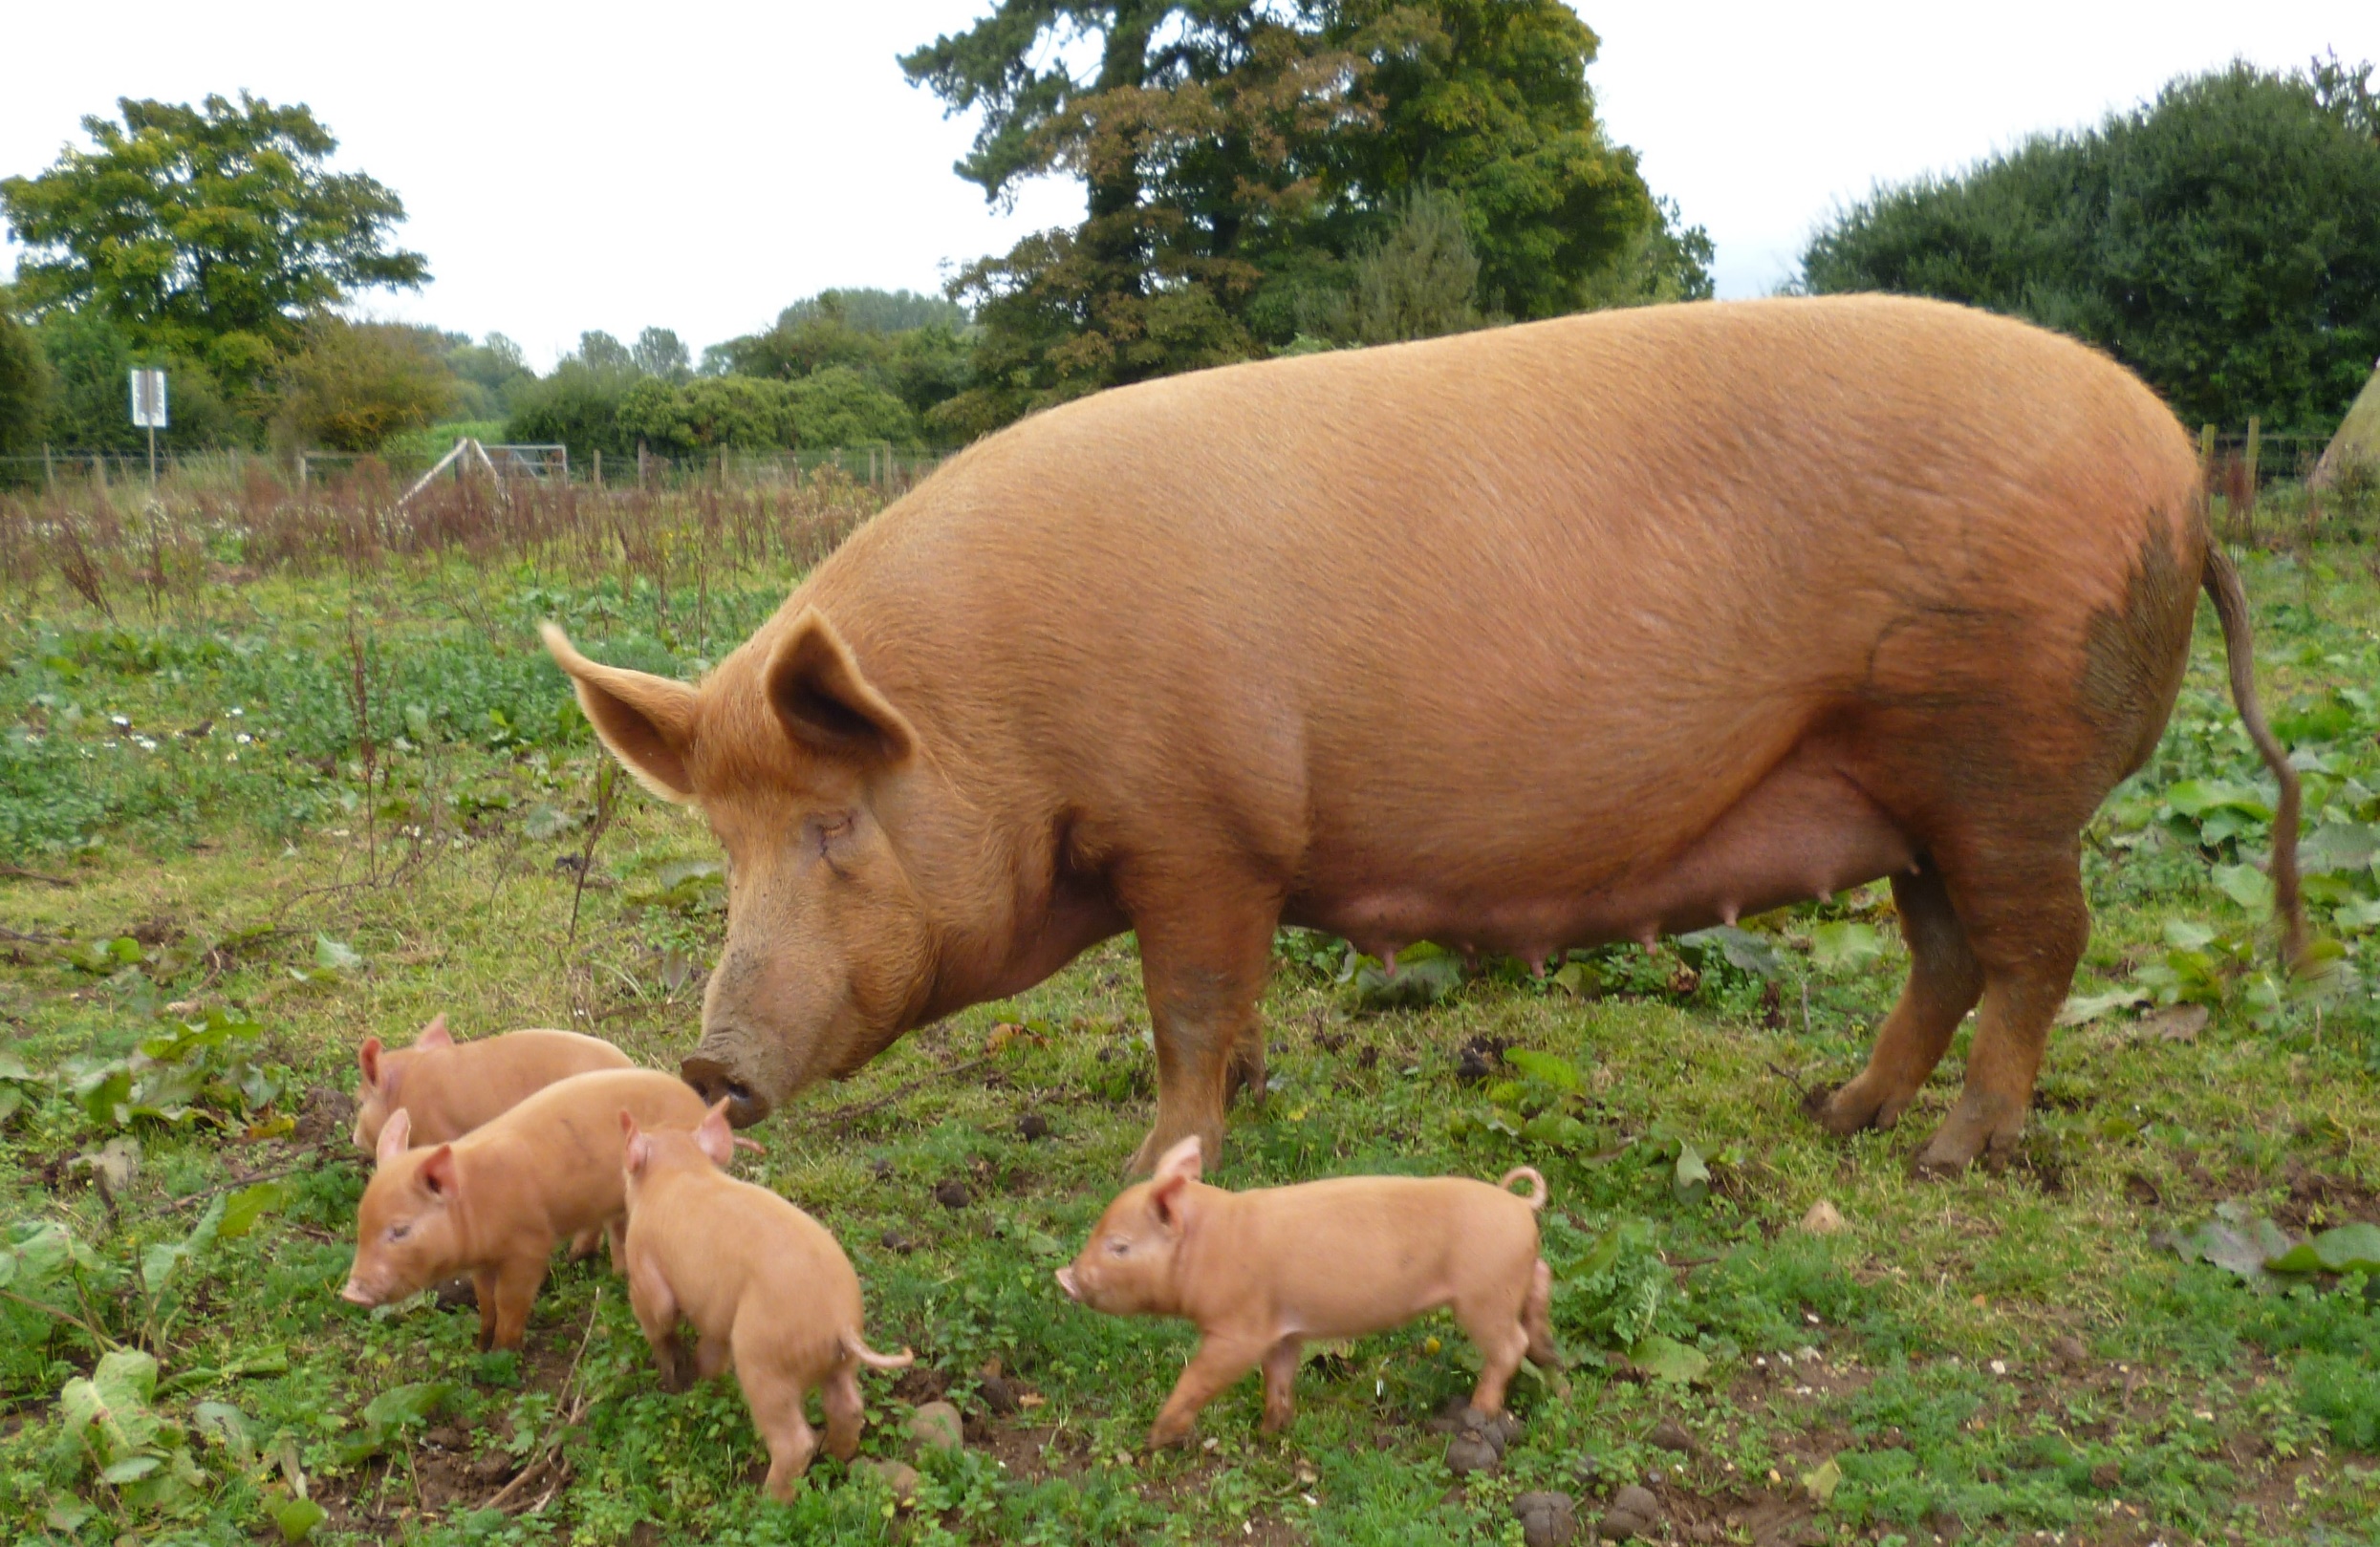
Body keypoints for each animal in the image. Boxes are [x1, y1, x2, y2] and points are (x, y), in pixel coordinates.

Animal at [545, 298, 2304, 1171]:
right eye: (720, 840)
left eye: (835, 824)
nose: (708, 1058)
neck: (1000, 709)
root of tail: (2182, 472)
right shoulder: (1222, 854)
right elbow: (1229, 1004)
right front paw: (1249, 1099)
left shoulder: (1202, 827)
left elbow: (1185, 1005)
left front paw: (1159, 1162)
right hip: (1906, 782)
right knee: (1946, 952)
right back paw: (1832, 1116)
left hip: (2004, 756)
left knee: (2042, 949)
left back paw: (1953, 1153)